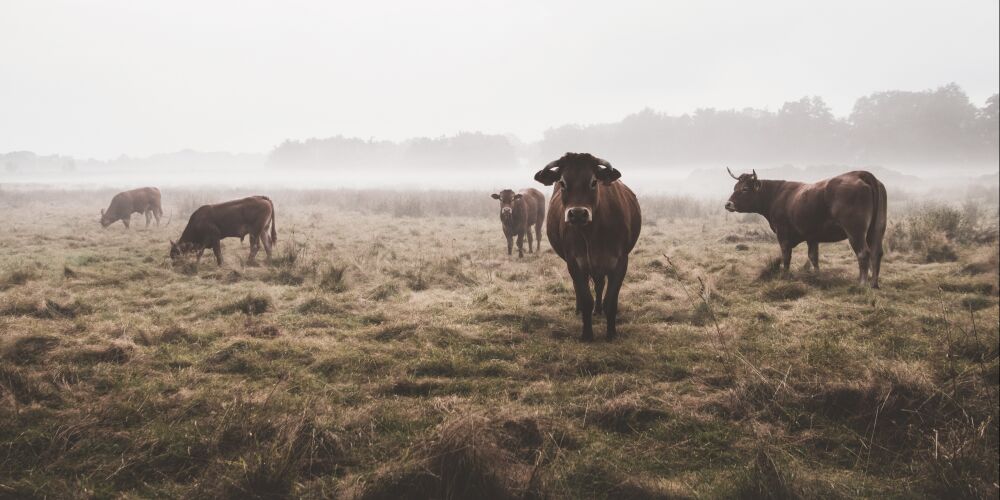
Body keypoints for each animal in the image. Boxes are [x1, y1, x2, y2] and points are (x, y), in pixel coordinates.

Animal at [536, 151, 644, 340]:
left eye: (593, 182)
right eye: (563, 182)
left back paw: (598, 310)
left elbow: (611, 300)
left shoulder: (620, 262)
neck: (593, 234)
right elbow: (586, 298)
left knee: (600, 286)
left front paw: (611, 334)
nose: (578, 213)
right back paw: (580, 309)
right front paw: (587, 334)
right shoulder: (575, 262)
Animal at [724, 168, 888, 288]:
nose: (728, 204)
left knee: (863, 253)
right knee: (877, 253)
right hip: (877, 229)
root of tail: (859, 174)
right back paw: (874, 284)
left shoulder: (783, 234)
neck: (776, 195)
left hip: (855, 231)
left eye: (745, 189)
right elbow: (813, 257)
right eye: (735, 187)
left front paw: (784, 276)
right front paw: (817, 277)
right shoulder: (812, 236)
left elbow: (786, 256)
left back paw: (862, 284)